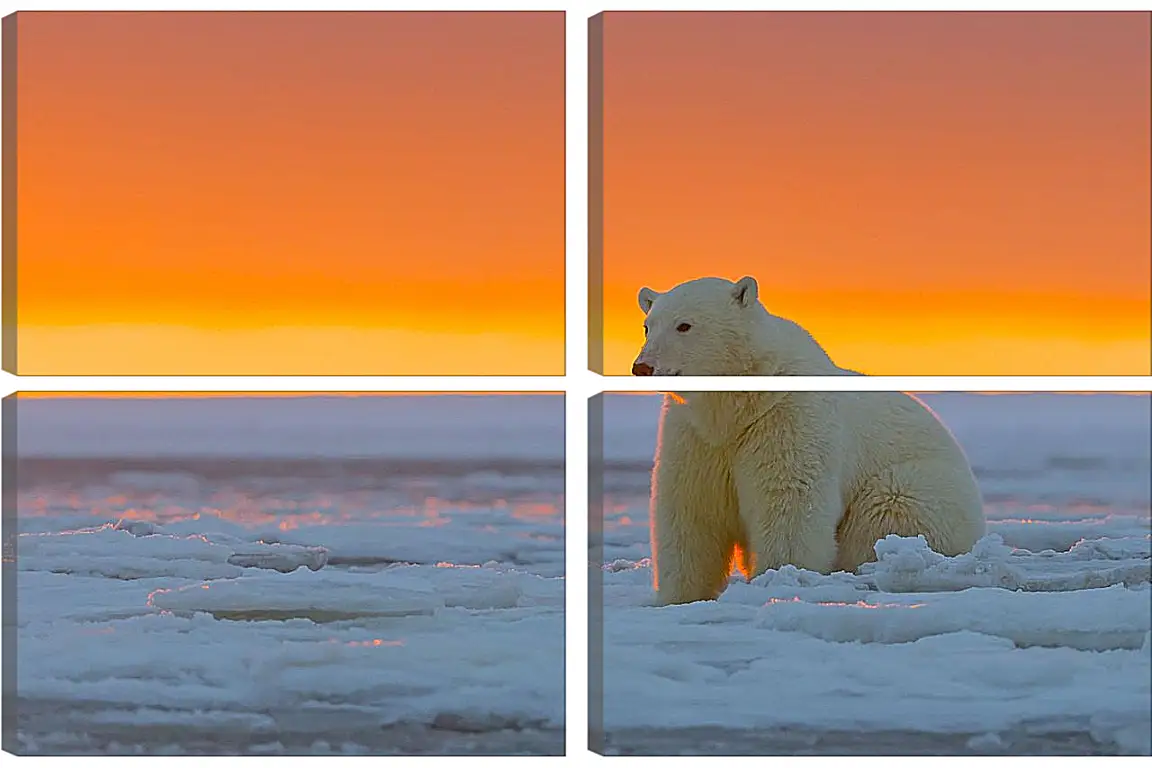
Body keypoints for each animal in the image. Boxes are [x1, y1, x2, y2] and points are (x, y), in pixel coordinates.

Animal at [635, 276, 986, 607]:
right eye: (648, 326)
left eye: (684, 325)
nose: (642, 367)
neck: (738, 406)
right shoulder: (694, 434)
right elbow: (689, 508)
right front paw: (679, 596)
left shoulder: (787, 415)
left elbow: (788, 501)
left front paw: (780, 578)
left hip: (921, 489)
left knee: (889, 510)